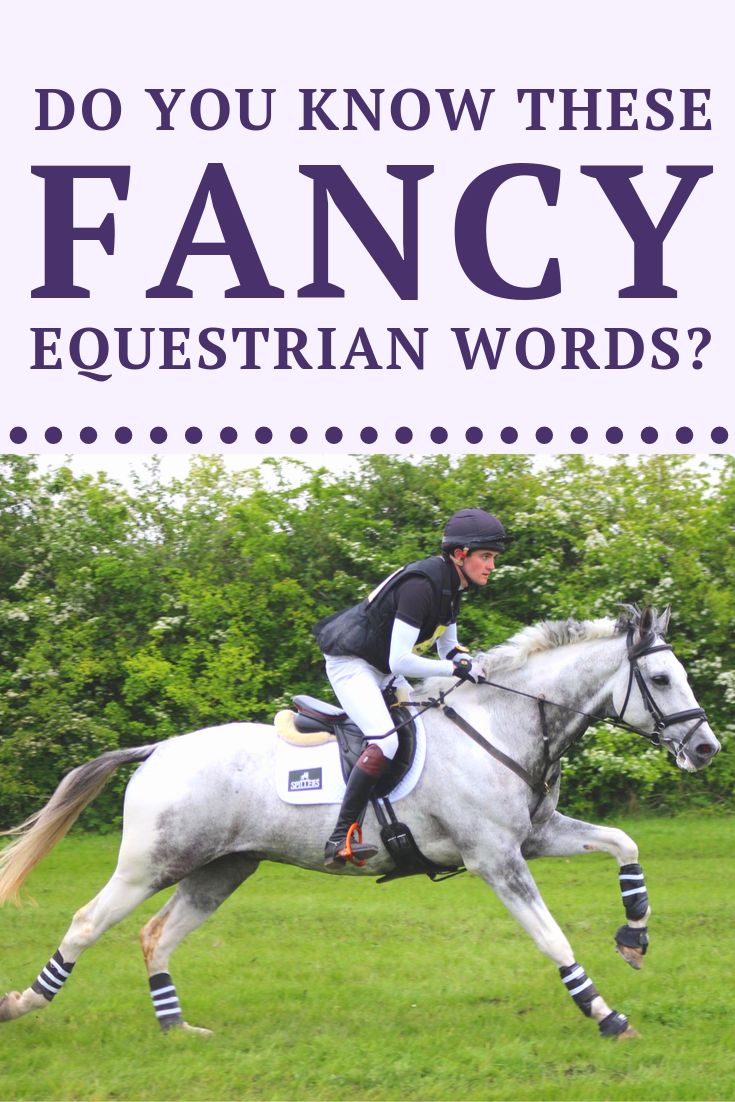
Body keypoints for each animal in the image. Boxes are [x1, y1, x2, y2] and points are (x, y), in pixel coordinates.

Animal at [0, 608, 718, 1035]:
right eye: (660, 679)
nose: (707, 748)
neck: (502, 724)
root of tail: (156, 750)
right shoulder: (496, 859)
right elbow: (551, 937)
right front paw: (603, 1012)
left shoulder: (536, 838)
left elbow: (622, 844)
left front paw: (634, 938)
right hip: (154, 862)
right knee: (88, 922)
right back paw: (24, 1003)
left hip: (222, 869)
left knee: (156, 936)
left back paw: (177, 1028)